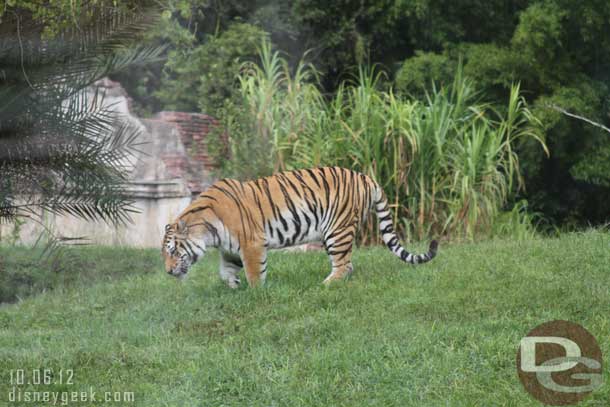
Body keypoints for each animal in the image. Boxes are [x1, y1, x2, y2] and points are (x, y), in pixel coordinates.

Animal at [162, 166, 436, 286]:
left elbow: (254, 273)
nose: (167, 271)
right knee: (348, 265)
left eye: (173, 251)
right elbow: (225, 271)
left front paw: (254, 292)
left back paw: (326, 285)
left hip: (337, 230)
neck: (208, 232)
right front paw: (233, 286)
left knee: (343, 264)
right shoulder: (230, 249)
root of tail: (365, 176)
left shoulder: (251, 244)